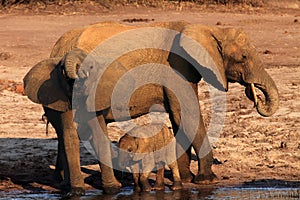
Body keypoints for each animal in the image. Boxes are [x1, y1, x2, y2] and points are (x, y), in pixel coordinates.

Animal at [23, 21, 278, 196]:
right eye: (243, 57)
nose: (253, 95)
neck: (206, 28)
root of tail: (58, 46)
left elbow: (178, 118)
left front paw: (185, 179)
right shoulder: (176, 68)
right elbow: (186, 115)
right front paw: (208, 181)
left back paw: (62, 183)